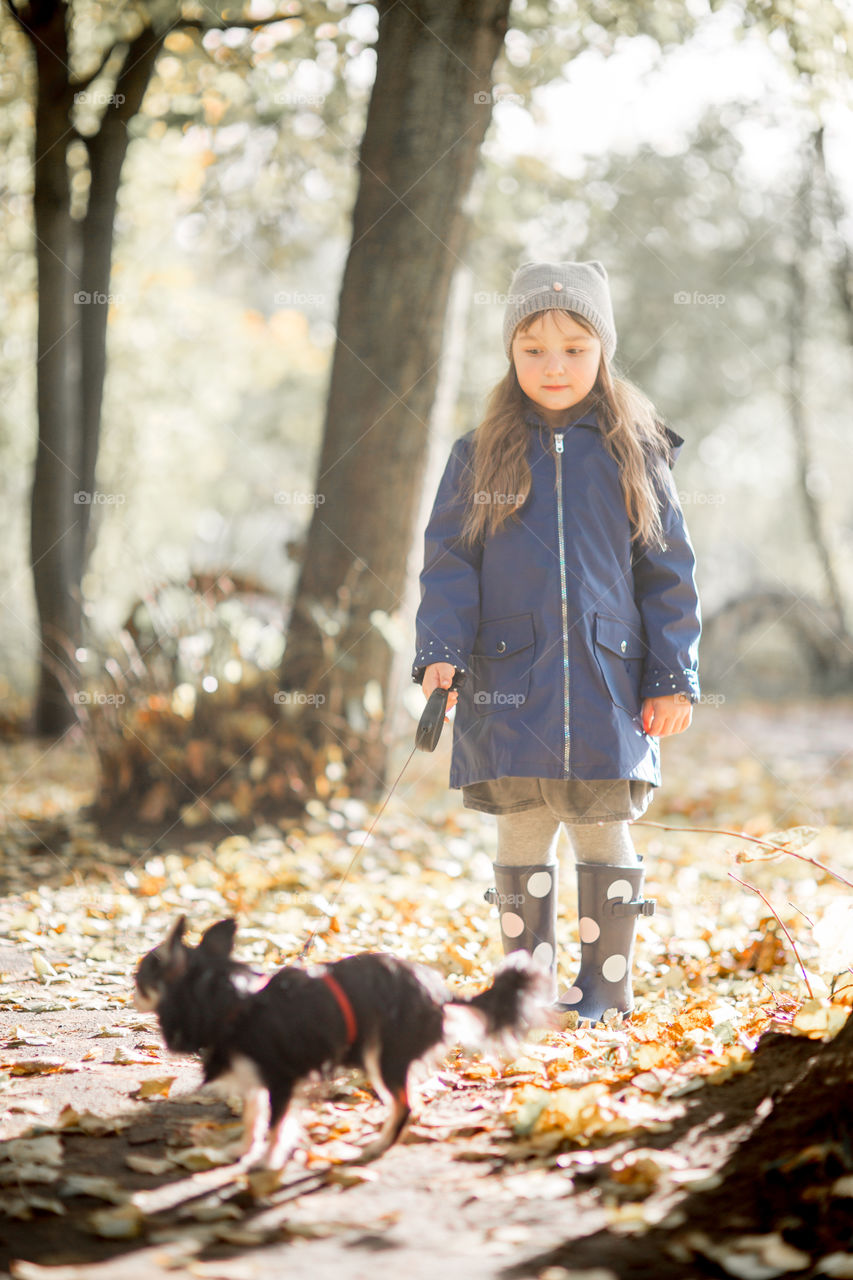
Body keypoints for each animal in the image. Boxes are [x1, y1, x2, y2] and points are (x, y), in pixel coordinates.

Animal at [133, 921, 545, 1172]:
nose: (131, 985)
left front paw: (267, 1162)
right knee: (410, 1102)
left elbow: (276, 1126)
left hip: (383, 1059)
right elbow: (253, 1119)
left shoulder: (282, 1081)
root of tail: (441, 995)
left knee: (406, 1104)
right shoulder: (256, 1082)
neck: (233, 1006)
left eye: (143, 975)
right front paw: (242, 1151)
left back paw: (378, 1147)